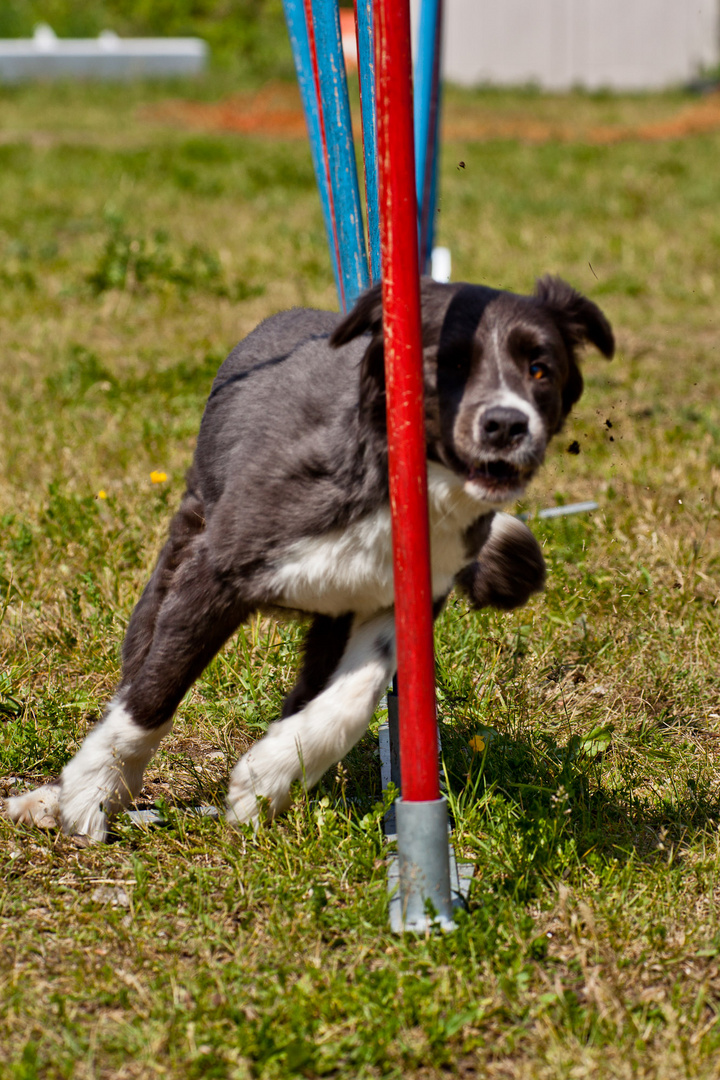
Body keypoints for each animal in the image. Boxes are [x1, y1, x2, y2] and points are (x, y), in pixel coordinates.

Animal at [5, 274, 613, 838]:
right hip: (180, 551)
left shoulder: (394, 600)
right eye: (451, 364)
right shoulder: (216, 571)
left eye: (541, 369)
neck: (386, 486)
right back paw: (55, 796)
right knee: (138, 665)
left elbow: (351, 700)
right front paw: (89, 795)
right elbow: (155, 691)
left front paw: (267, 777)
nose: (507, 425)